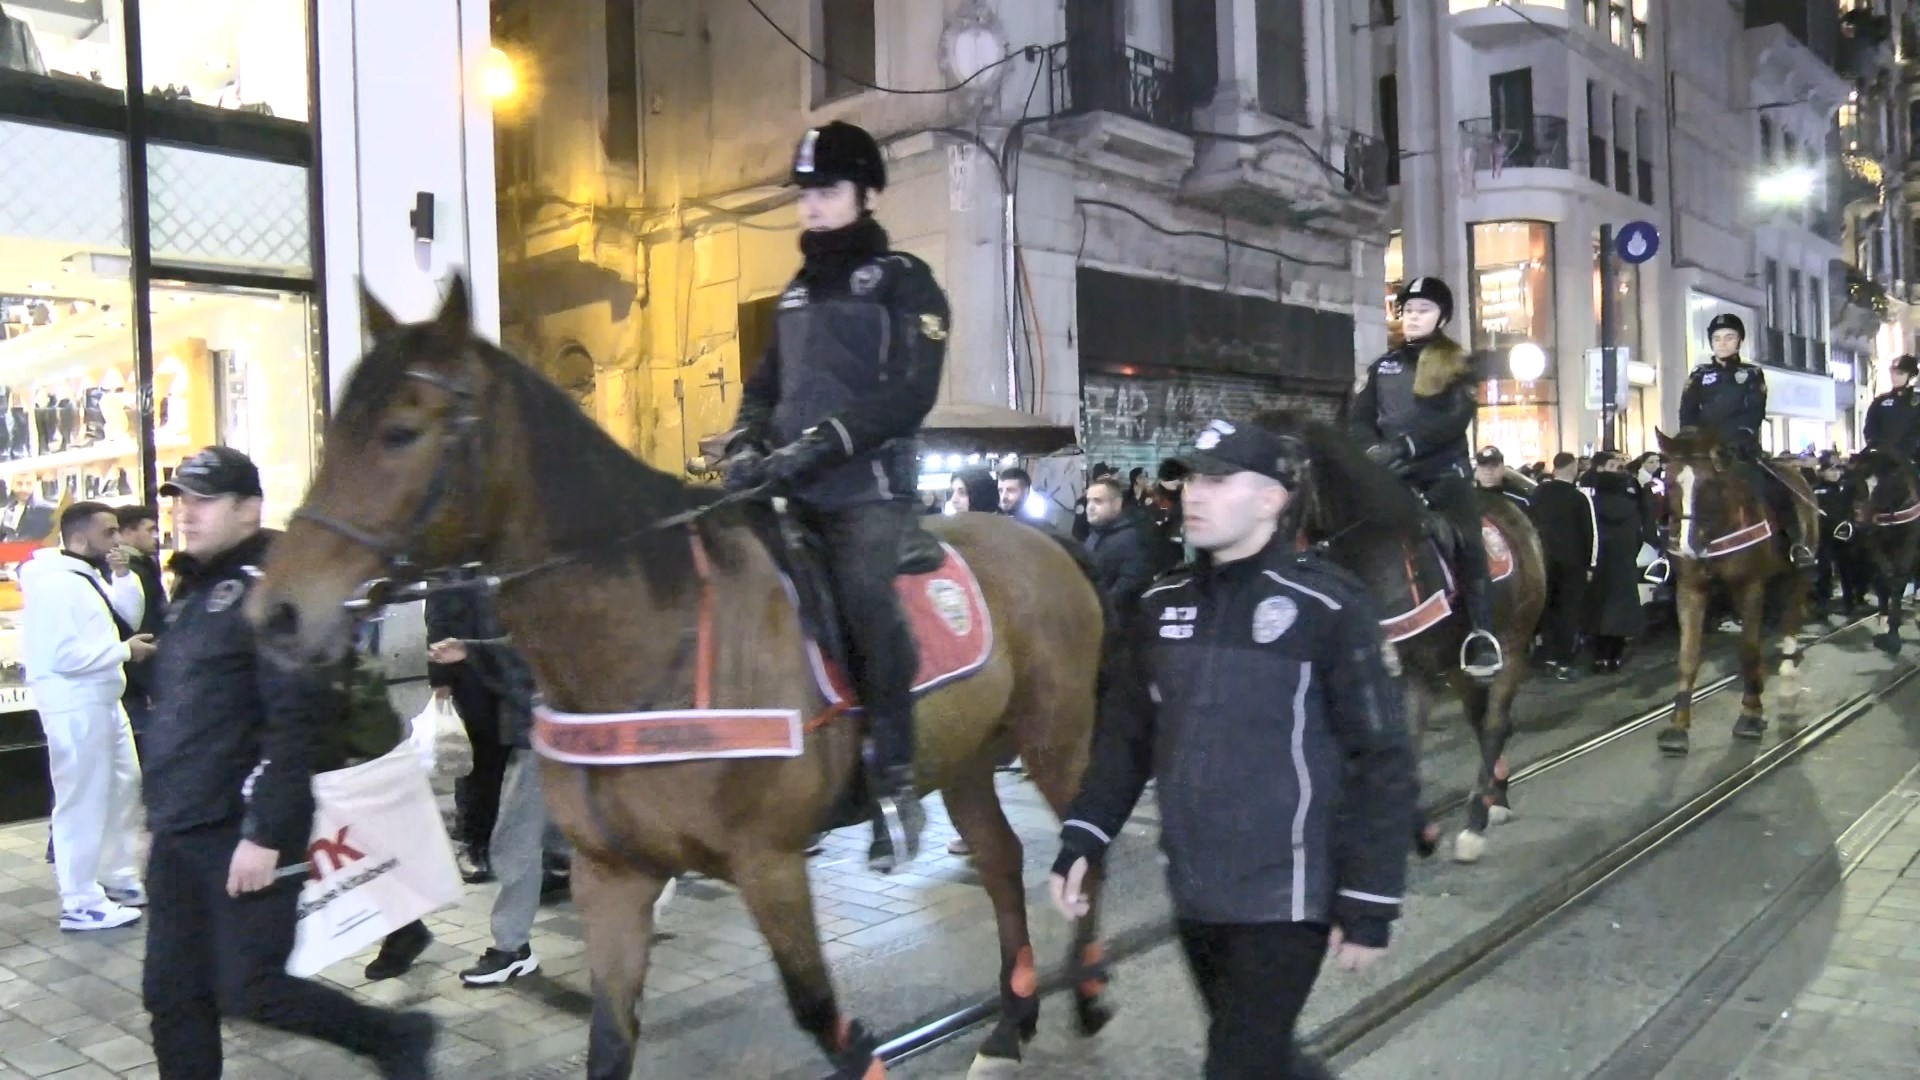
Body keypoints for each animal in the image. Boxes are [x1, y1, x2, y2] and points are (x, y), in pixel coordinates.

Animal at [243, 278, 1113, 1076]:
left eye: (401, 431)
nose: (277, 611)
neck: (657, 639)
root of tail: (1048, 544)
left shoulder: (770, 865)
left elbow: (822, 1014)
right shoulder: (613, 878)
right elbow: (609, 1040)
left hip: (1056, 738)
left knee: (1080, 847)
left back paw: (1089, 992)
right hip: (966, 759)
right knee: (1002, 862)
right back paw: (1012, 1021)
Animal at [1259, 407, 1543, 860]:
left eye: (1288, 471)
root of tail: (1517, 517)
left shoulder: (1410, 674)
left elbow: (1404, 749)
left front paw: (1420, 833)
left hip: (1513, 643)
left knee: (1495, 724)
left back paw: (1474, 824)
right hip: (1458, 667)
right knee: (1480, 720)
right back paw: (1495, 799)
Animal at [1651, 424, 1812, 753]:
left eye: (1709, 483)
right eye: (1669, 483)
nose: (1687, 546)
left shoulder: (1749, 587)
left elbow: (1748, 650)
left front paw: (1750, 714)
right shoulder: (1690, 590)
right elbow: (1688, 656)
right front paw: (1677, 726)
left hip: (1795, 575)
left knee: (1791, 615)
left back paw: (1788, 665)